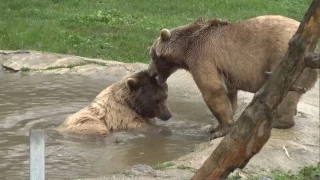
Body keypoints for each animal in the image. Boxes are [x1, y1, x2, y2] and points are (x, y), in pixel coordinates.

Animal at [149, 15, 318, 139]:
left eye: (152, 55)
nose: (151, 73)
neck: (185, 48)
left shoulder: (202, 57)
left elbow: (213, 90)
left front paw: (218, 131)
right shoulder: (225, 70)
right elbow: (229, 95)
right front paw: (215, 126)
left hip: (285, 58)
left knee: (286, 89)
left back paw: (277, 120)